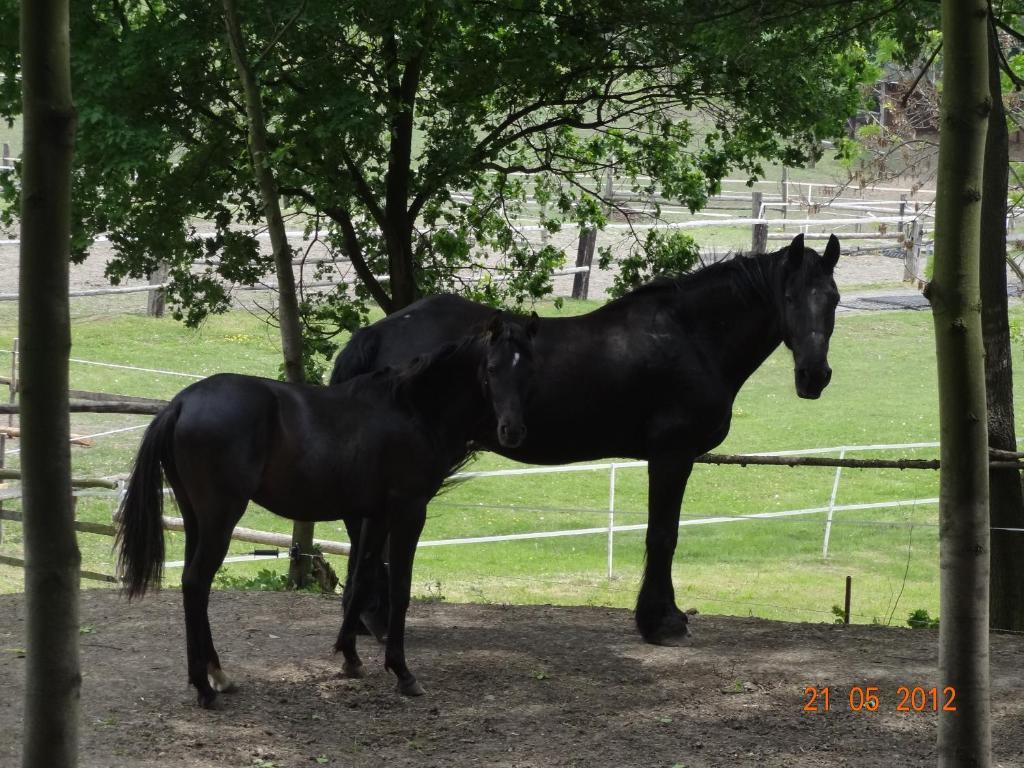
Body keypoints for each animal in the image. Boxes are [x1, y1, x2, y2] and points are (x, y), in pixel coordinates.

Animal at [115, 315, 536, 708]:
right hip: (221, 518)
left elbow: (360, 581)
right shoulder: (409, 511)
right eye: (492, 368)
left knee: (194, 585)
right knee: (196, 583)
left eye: (526, 367)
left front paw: (350, 657)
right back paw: (204, 687)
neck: (411, 409)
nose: (513, 430)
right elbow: (400, 588)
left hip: (195, 518)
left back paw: (217, 675)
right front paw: (402, 672)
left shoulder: (373, 515)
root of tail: (183, 402)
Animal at [331, 233, 843, 643]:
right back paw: (376, 617)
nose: (814, 376)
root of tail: (377, 334)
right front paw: (661, 622)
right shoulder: (672, 454)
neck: (690, 336)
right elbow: (663, 535)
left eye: (834, 298)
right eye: (790, 297)